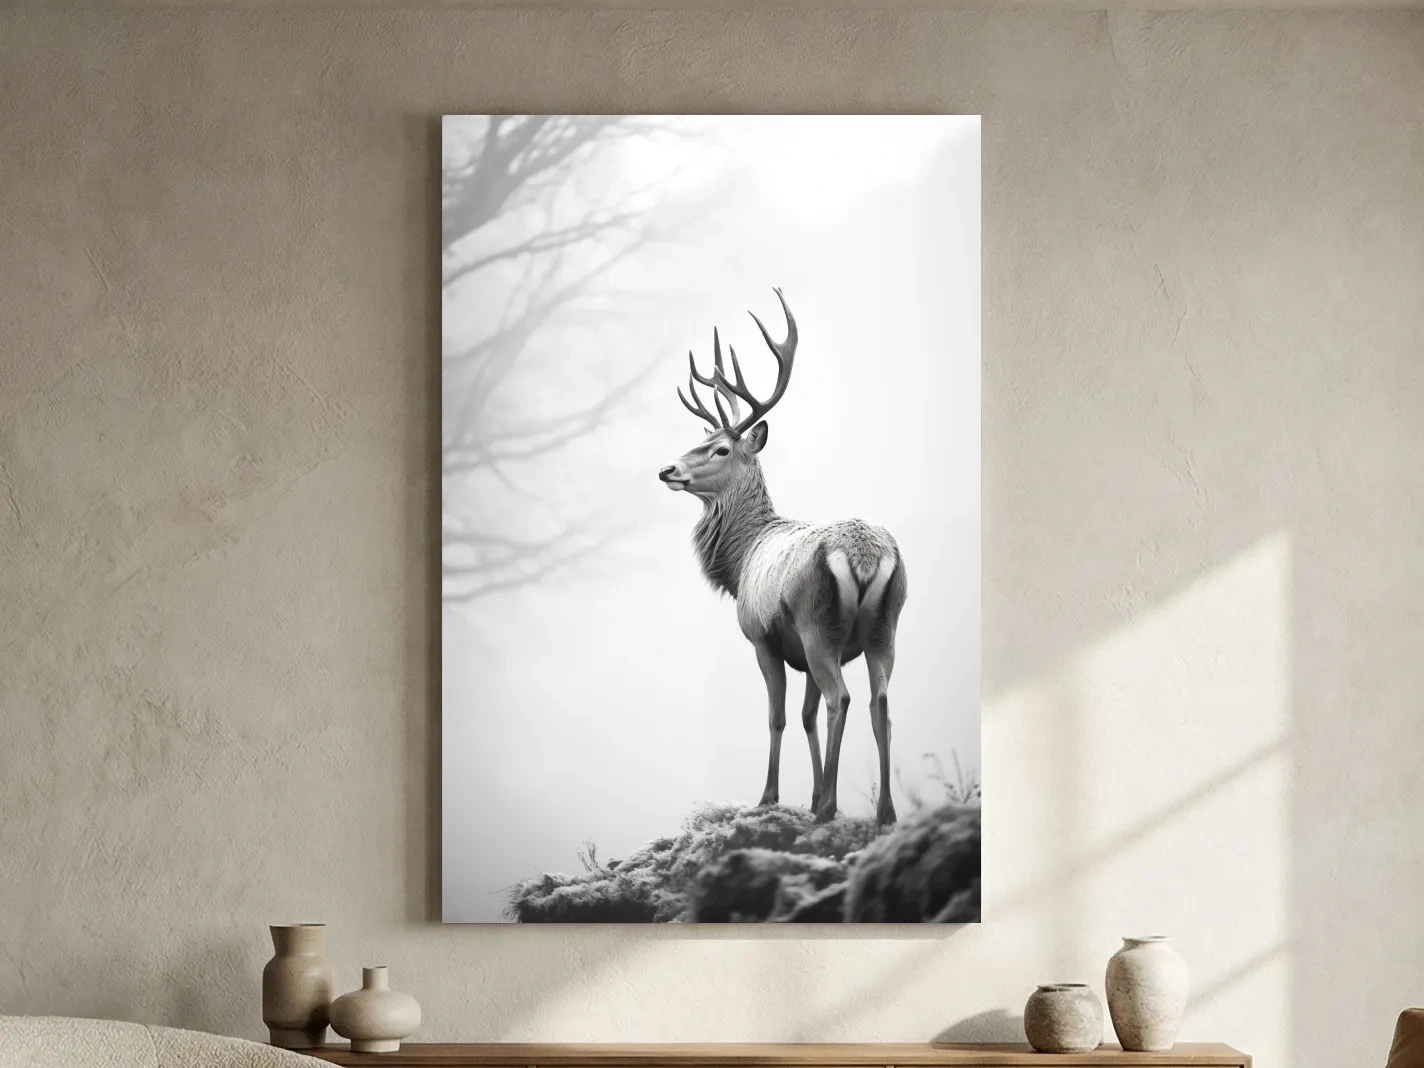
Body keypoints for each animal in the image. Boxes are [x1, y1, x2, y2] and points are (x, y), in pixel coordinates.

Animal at [658, 289, 907, 826]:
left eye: (720, 448)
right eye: (700, 440)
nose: (667, 469)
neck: (741, 559)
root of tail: (864, 556)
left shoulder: (763, 637)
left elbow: (779, 717)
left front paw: (771, 797)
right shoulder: (801, 654)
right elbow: (807, 716)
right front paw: (809, 795)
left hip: (818, 623)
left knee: (842, 697)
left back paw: (830, 807)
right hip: (885, 627)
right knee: (879, 702)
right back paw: (884, 813)